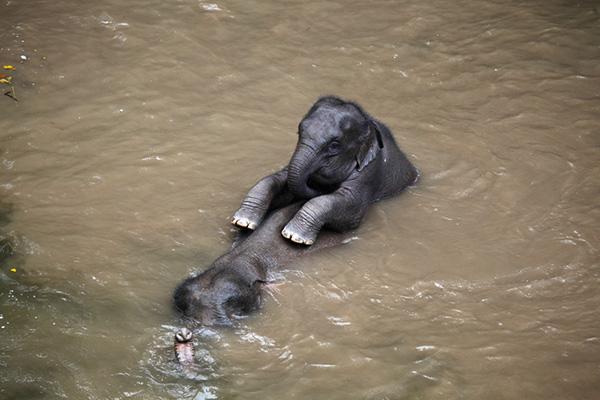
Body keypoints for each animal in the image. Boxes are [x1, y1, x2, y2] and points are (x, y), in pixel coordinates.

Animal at [230, 95, 418, 245]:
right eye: (299, 132)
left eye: (334, 145)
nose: (318, 187)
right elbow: (275, 180)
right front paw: (243, 222)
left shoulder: (370, 172)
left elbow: (349, 208)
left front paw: (294, 237)